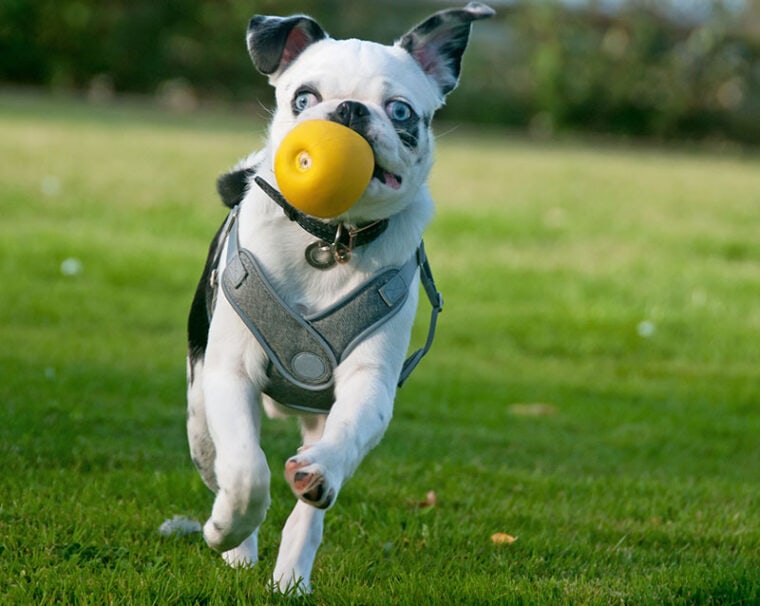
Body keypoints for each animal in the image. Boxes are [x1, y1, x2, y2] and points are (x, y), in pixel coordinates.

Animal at [184, 2, 492, 596]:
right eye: (304, 98)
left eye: (400, 111)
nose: (347, 110)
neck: (330, 241)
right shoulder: (230, 372)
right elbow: (246, 471)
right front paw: (227, 530)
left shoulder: (369, 383)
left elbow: (340, 447)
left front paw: (317, 476)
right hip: (200, 397)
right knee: (214, 455)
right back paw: (236, 543)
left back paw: (290, 572)